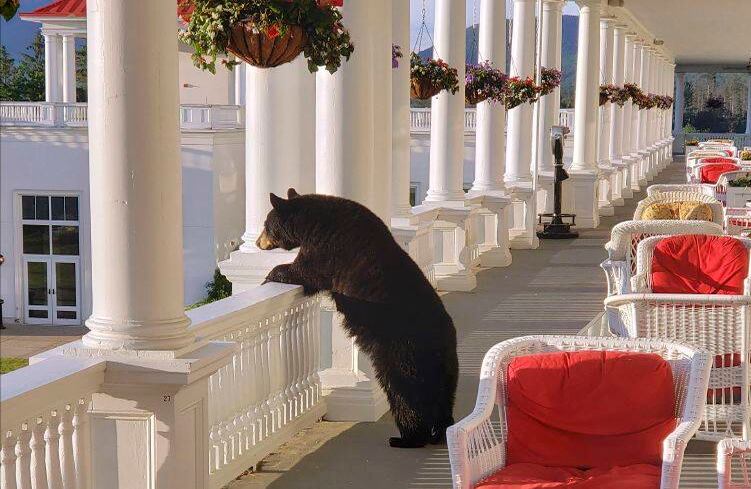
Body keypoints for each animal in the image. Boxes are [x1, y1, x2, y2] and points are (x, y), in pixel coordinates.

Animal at [258, 188, 459, 449]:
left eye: (265, 225)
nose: (257, 242)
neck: (311, 222)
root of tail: (444, 339)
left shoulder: (327, 248)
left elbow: (304, 271)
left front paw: (269, 276)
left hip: (403, 353)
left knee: (404, 391)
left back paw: (407, 437)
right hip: (444, 365)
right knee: (442, 396)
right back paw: (440, 430)